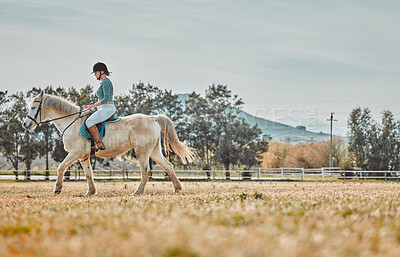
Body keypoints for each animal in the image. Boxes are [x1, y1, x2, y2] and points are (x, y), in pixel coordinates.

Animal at [23, 91, 195, 195]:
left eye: (33, 107)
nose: (25, 125)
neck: (71, 122)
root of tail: (153, 118)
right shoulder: (83, 156)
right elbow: (88, 174)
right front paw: (90, 192)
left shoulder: (75, 153)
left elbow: (60, 167)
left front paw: (57, 189)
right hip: (153, 151)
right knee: (168, 166)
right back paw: (177, 189)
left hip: (142, 152)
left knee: (146, 171)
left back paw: (138, 192)